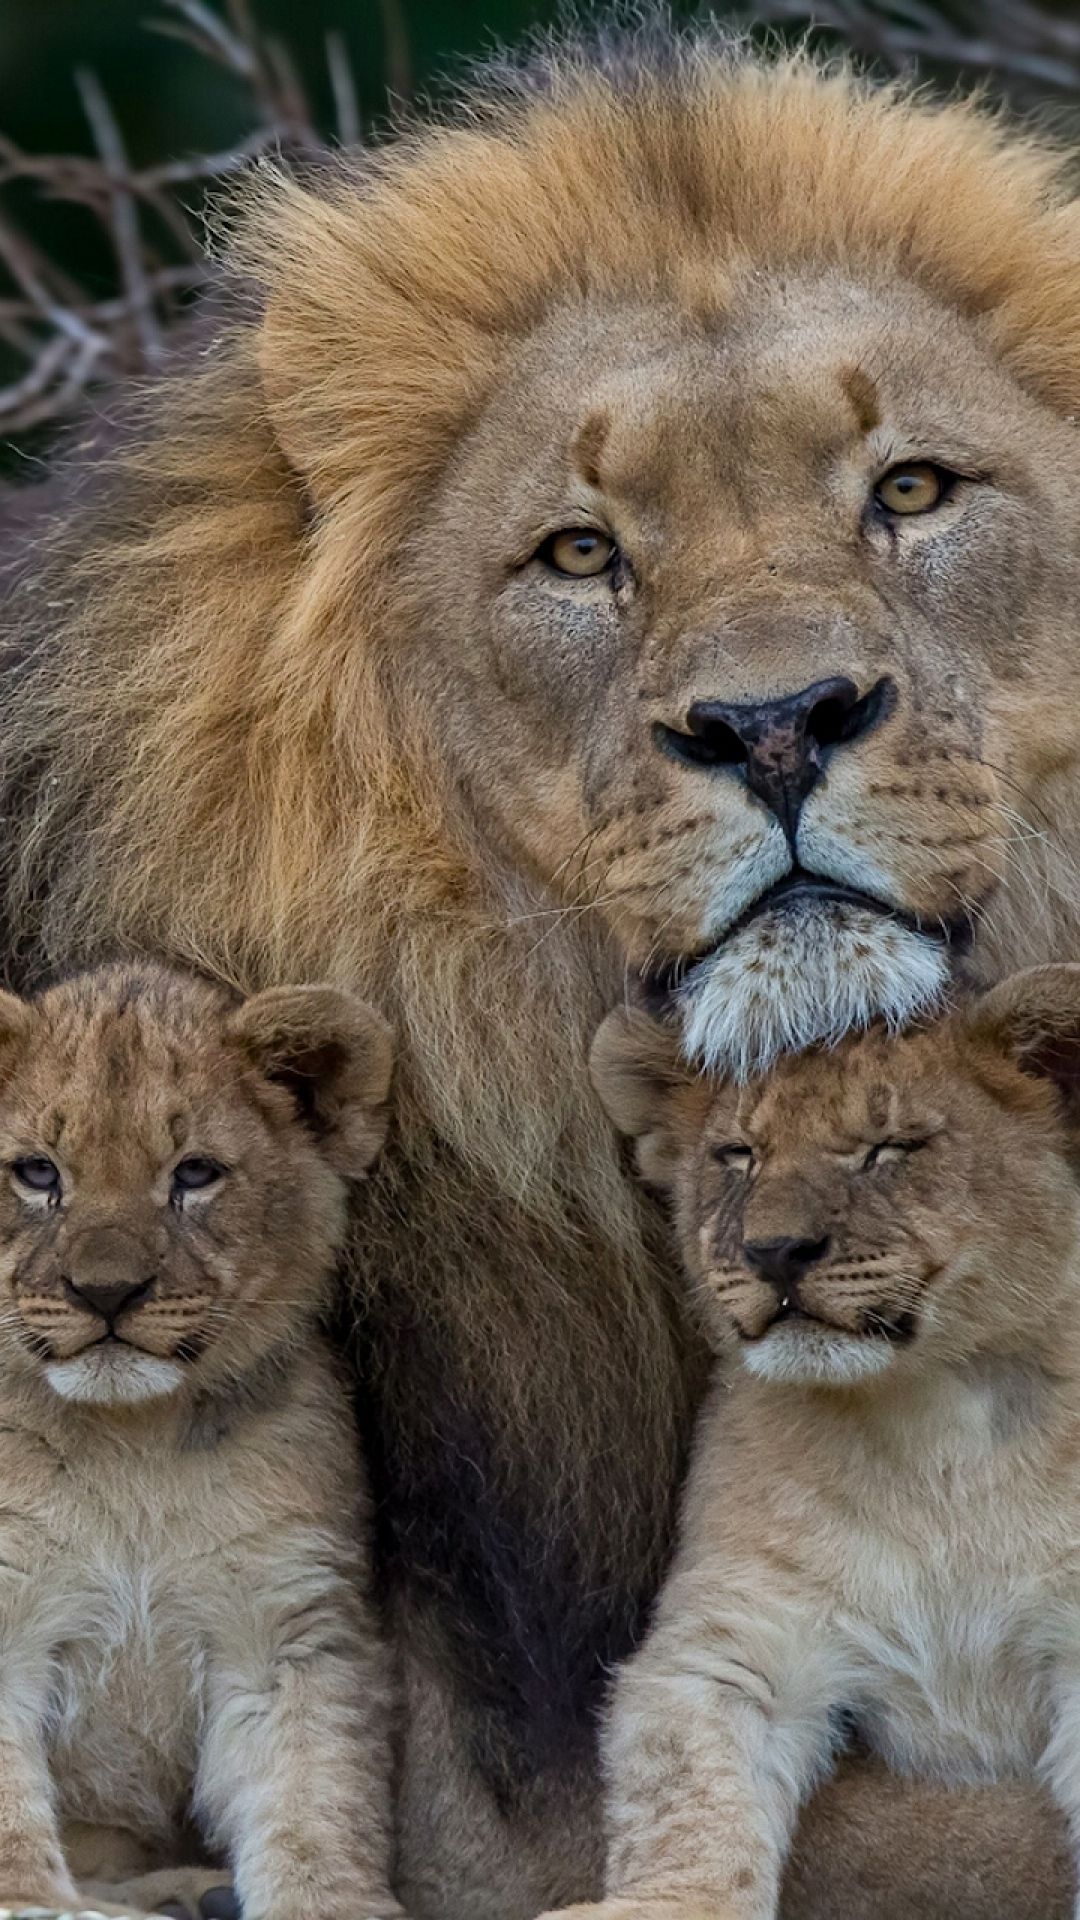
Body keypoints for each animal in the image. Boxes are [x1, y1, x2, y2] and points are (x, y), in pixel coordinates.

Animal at [0, 960, 401, 1920]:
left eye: (195, 1173)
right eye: (36, 1172)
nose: (107, 1292)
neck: (133, 1447)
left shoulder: (287, 1627)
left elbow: (316, 1793)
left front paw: (327, 1902)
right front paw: (29, 1898)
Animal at [572, 967, 1080, 1920]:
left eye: (889, 1149)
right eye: (738, 1157)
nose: (776, 1250)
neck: (930, 1423)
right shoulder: (739, 1637)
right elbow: (688, 1799)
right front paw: (672, 1902)